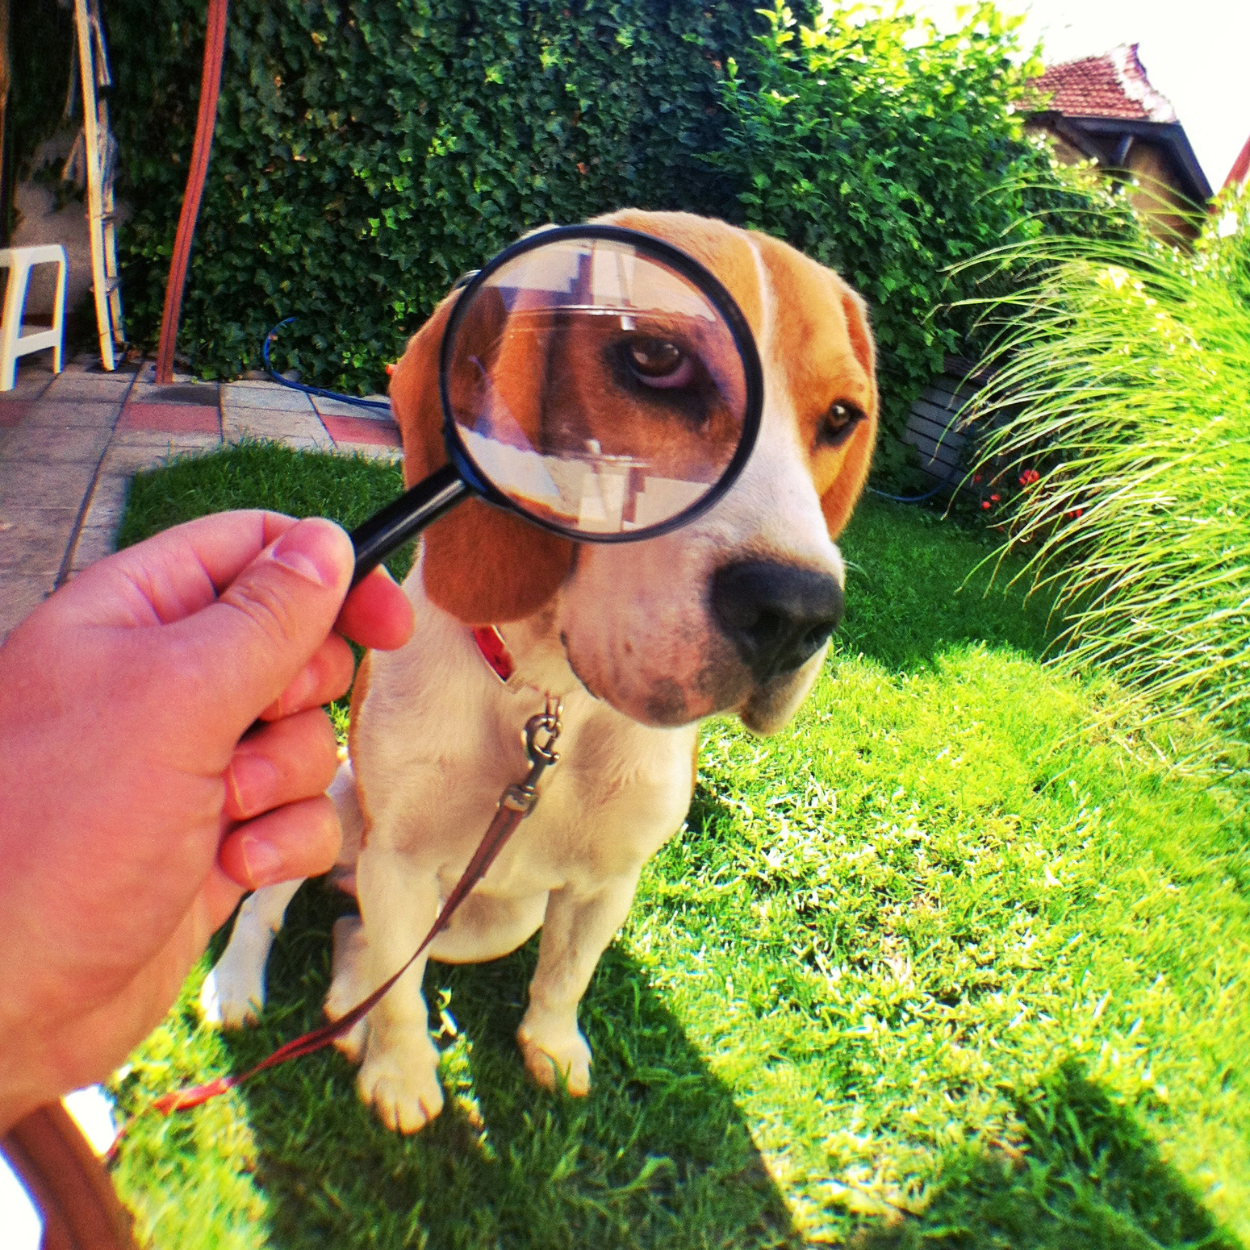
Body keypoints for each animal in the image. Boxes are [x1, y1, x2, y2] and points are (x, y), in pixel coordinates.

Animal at [200, 210, 877, 1133]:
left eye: (842, 416)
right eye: (655, 357)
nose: (800, 613)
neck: (549, 699)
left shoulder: (606, 883)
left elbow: (564, 978)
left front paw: (552, 1048)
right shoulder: (400, 861)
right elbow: (404, 998)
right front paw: (404, 1074)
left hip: (495, 918)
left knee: (359, 939)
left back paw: (347, 1007)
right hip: (333, 818)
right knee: (276, 909)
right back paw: (243, 985)